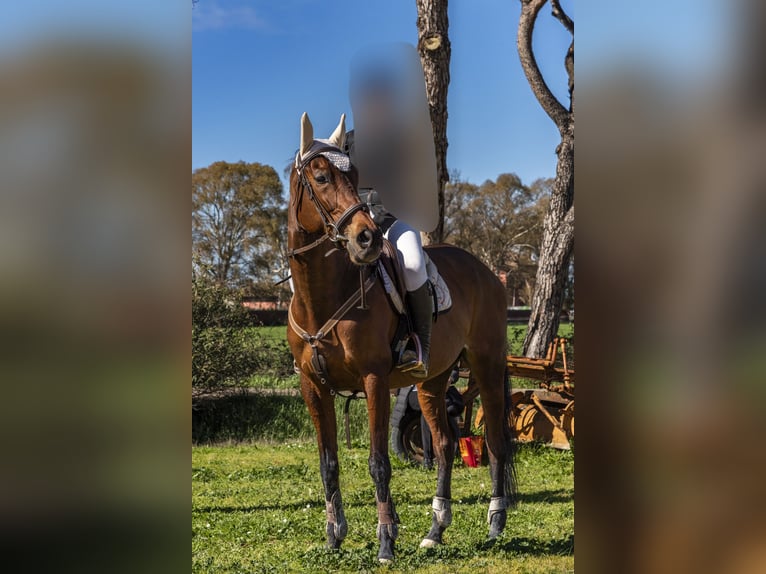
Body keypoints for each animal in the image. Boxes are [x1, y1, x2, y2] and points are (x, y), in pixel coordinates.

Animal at [286, 112, 516, 563]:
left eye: (355, 176)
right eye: (320, 177)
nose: (367, 239)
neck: (321, 296)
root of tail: (484, 270)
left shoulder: (374, 379)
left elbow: (378, 463)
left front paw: (386, 541)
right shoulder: (313, 386)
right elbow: (328, 463)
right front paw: (334, 535)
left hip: (487, 364)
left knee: (496, 441)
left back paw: (496, 523)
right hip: (433, 380)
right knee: (443, 445)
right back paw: (435, 530)